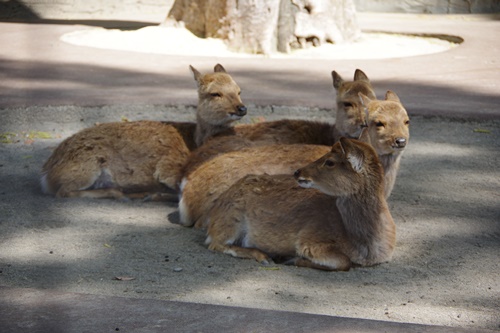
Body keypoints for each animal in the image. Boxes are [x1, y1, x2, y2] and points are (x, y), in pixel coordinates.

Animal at [40, 64, 247, 200]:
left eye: (239, 91)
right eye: (215, 94)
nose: (241, 109)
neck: (194, 142)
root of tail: (46, 173)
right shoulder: (168, 167)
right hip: (88, 164)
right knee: (64, 191)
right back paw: (122, 193)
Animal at [205, 137, 396, 270]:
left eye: (330, 162)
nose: (298, 172)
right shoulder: (309, 241)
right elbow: (344, 262)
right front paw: (291, 259)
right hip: (231, 220)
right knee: (216, 244)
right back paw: (264, 257)